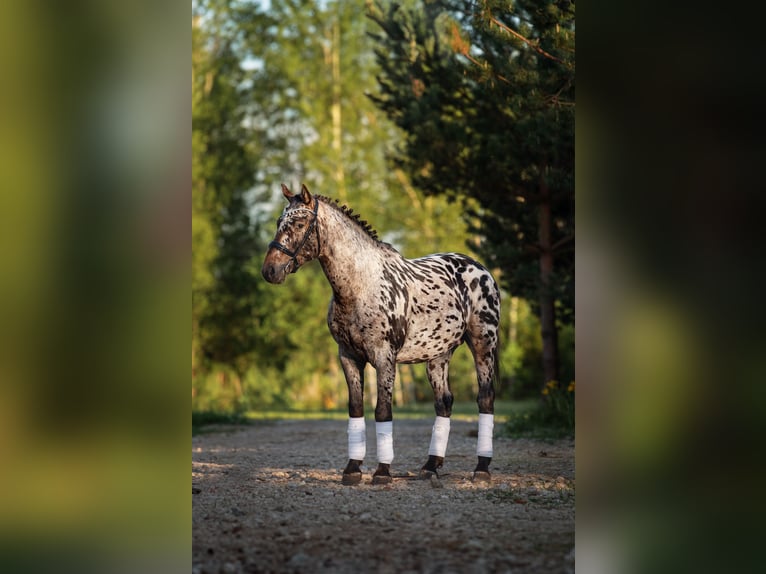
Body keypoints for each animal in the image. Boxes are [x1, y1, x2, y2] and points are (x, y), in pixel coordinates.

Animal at [262, 183, 504, 486]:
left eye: (299, 223)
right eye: (278, 222)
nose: (270, 271)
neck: (361, 285)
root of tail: (481, 269)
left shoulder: (384, 357)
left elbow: (383, 410)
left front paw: (382, 472)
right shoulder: (348, 357)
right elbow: (356, 408)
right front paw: (352, 469)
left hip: (483, 344)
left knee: (486, 398)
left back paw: (481, 468)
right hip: (438, 355)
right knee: (444, 402)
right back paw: (431, 466)